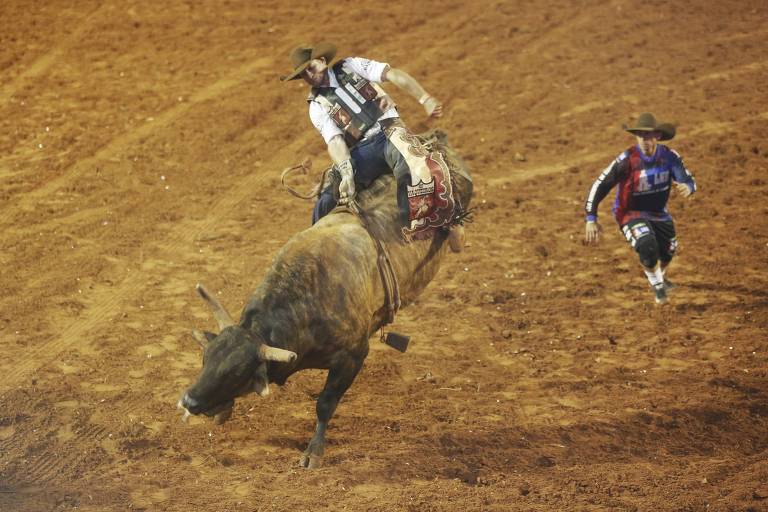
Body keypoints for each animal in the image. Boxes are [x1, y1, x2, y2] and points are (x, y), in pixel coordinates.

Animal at [177, 132, 472, 468]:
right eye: (206, 358)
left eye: (236, 372)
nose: (188, 400)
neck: (306, 304)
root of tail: (436, 140)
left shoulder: (353, 357)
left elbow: (325, 404)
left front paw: (313, 451)